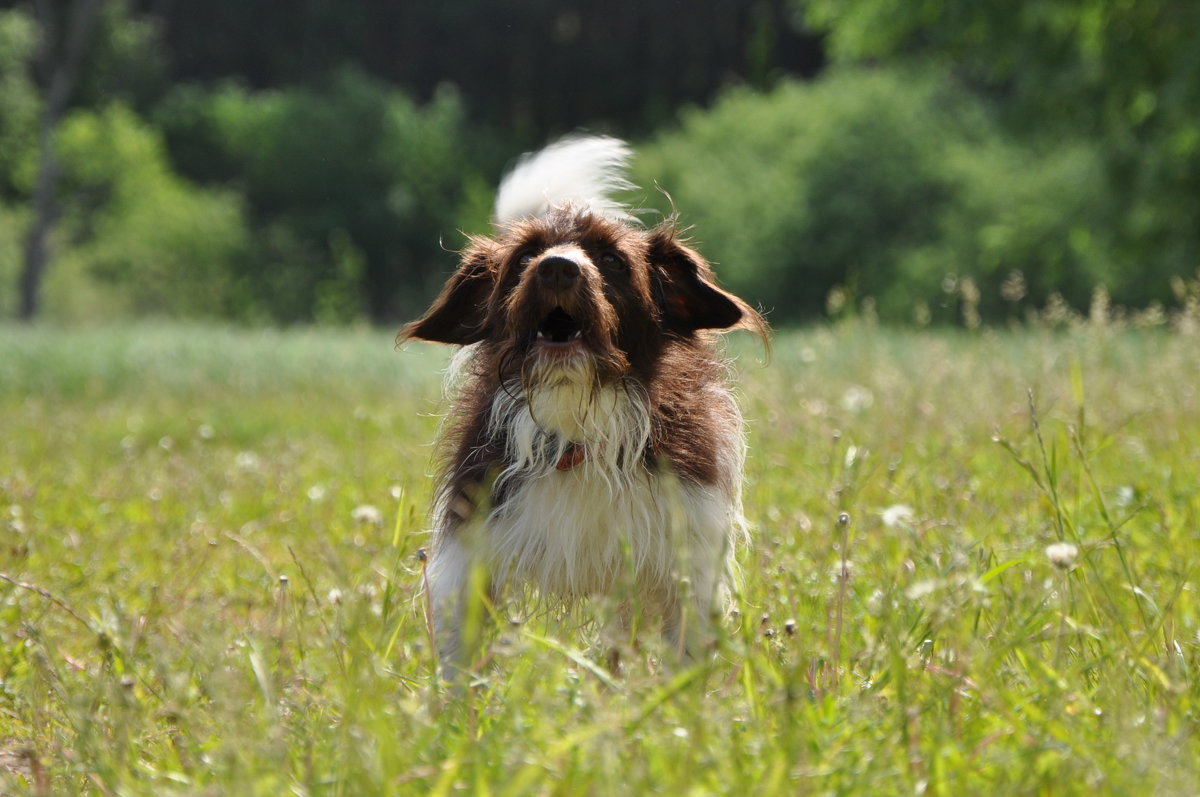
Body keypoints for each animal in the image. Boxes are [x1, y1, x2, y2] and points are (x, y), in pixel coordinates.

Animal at [398, 135, 763, 672]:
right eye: (525, 256)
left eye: (611, 260)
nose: (556, 268)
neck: (577, 419)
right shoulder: (474, 547)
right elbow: (462, 660)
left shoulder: (687, 554)